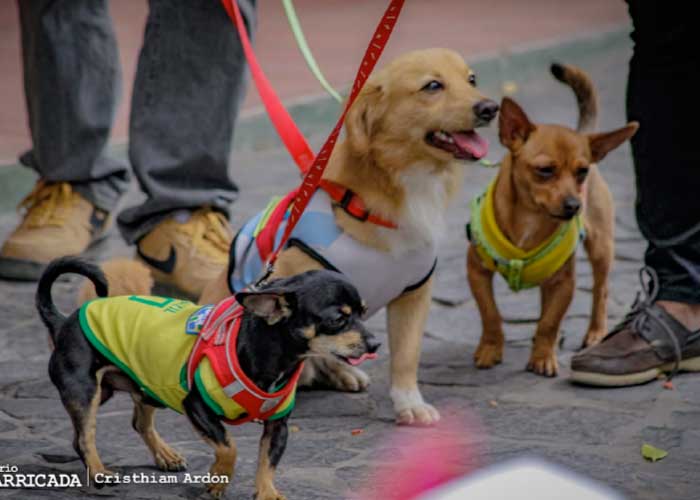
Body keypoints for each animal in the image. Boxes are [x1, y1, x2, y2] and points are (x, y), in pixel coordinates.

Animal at [37, 256, 378, 498]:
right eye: (337, 319)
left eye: (363, 313)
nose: (375, 344)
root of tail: (63, 321)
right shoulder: (197, 406)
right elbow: (229, 447)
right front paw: (218, 479)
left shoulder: (277, 425)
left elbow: (267, 462)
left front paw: (267, 493)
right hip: (85, 391)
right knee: (83, 437)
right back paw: (99, 472)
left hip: (147, 385)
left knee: (139, 422)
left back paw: (165, 455)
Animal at [468, 63, 636, 376]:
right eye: (545, 170)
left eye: (582, 172)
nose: (574, 205)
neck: (530, 219)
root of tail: (584, 131)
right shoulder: (477, 271)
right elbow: (491, 314)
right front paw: (490, 349)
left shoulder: (564, 283)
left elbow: (550, 322)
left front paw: (544, 357)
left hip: (601, 248)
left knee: (601, 290)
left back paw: (596, 332)